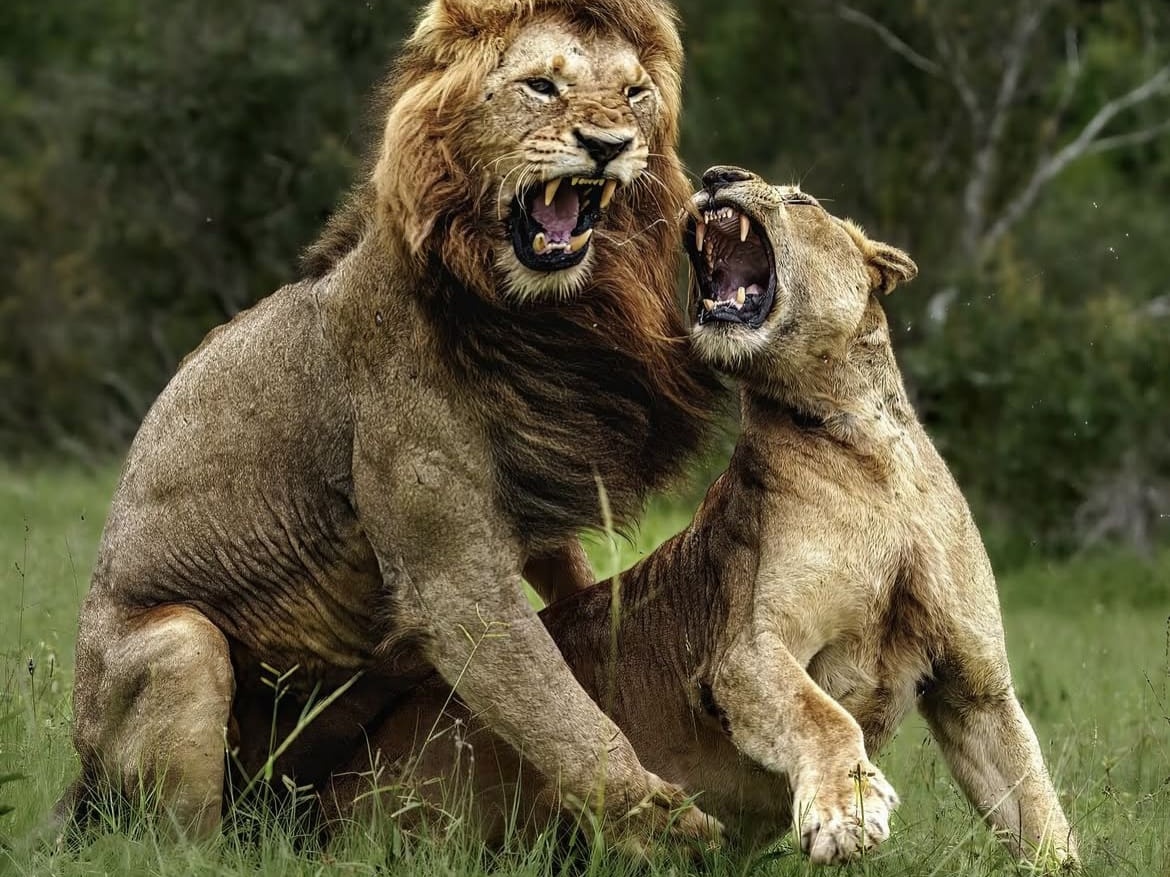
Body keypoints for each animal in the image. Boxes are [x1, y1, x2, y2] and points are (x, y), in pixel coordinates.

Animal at [64, 0, 720, 846]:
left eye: (635, 94)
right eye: (542, 86)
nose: (609, 146)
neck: (530, 314)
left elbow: (574, 601)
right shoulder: (450, 576)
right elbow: (558, 709)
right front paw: (667, 826)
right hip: (177, 647)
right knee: (177, 838)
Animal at [327, 168, 1076, 874]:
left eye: (802, 202)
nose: (717, 175)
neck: (864, 445)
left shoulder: (977, 687)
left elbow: (1036, 801)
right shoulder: (746, 648)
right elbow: (824, 717)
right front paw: (848, 811)